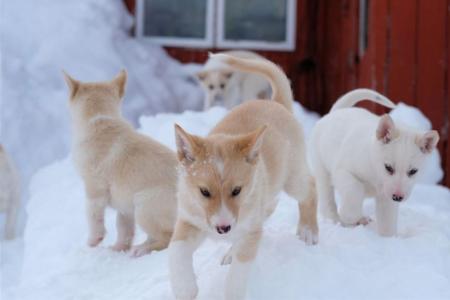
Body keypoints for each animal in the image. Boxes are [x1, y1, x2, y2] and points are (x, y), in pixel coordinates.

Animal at [63, 70, 179, 255]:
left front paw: (92, 242)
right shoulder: (125, 207)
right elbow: (124, 228)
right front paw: (119, 248)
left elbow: (93, 217)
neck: (100, 119)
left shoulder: (94, 190)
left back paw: (142, 250)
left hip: (144, 206)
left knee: (167, 238)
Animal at [169, 54, 320, 300]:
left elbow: (237, 275)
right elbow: (176, 252)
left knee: (310, 189)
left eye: (236, 190)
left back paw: (308, 232)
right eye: (204, 192)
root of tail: (276, 102)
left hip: (293, 177)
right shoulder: (189, 221)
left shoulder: (250, 233)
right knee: (271, 206)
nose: (223, 229)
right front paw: (185, 289)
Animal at [310, 89, 440, 237]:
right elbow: (354, 191)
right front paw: (349, 216)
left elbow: (387, 222)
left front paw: (387, 239)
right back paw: (336, 219)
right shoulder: (344, 172)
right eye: (388, 167)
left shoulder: (387, 199)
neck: (375, 171)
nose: (398, 197)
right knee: (327, 200)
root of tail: (336, 112)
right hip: (322, 171)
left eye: (413, 171)